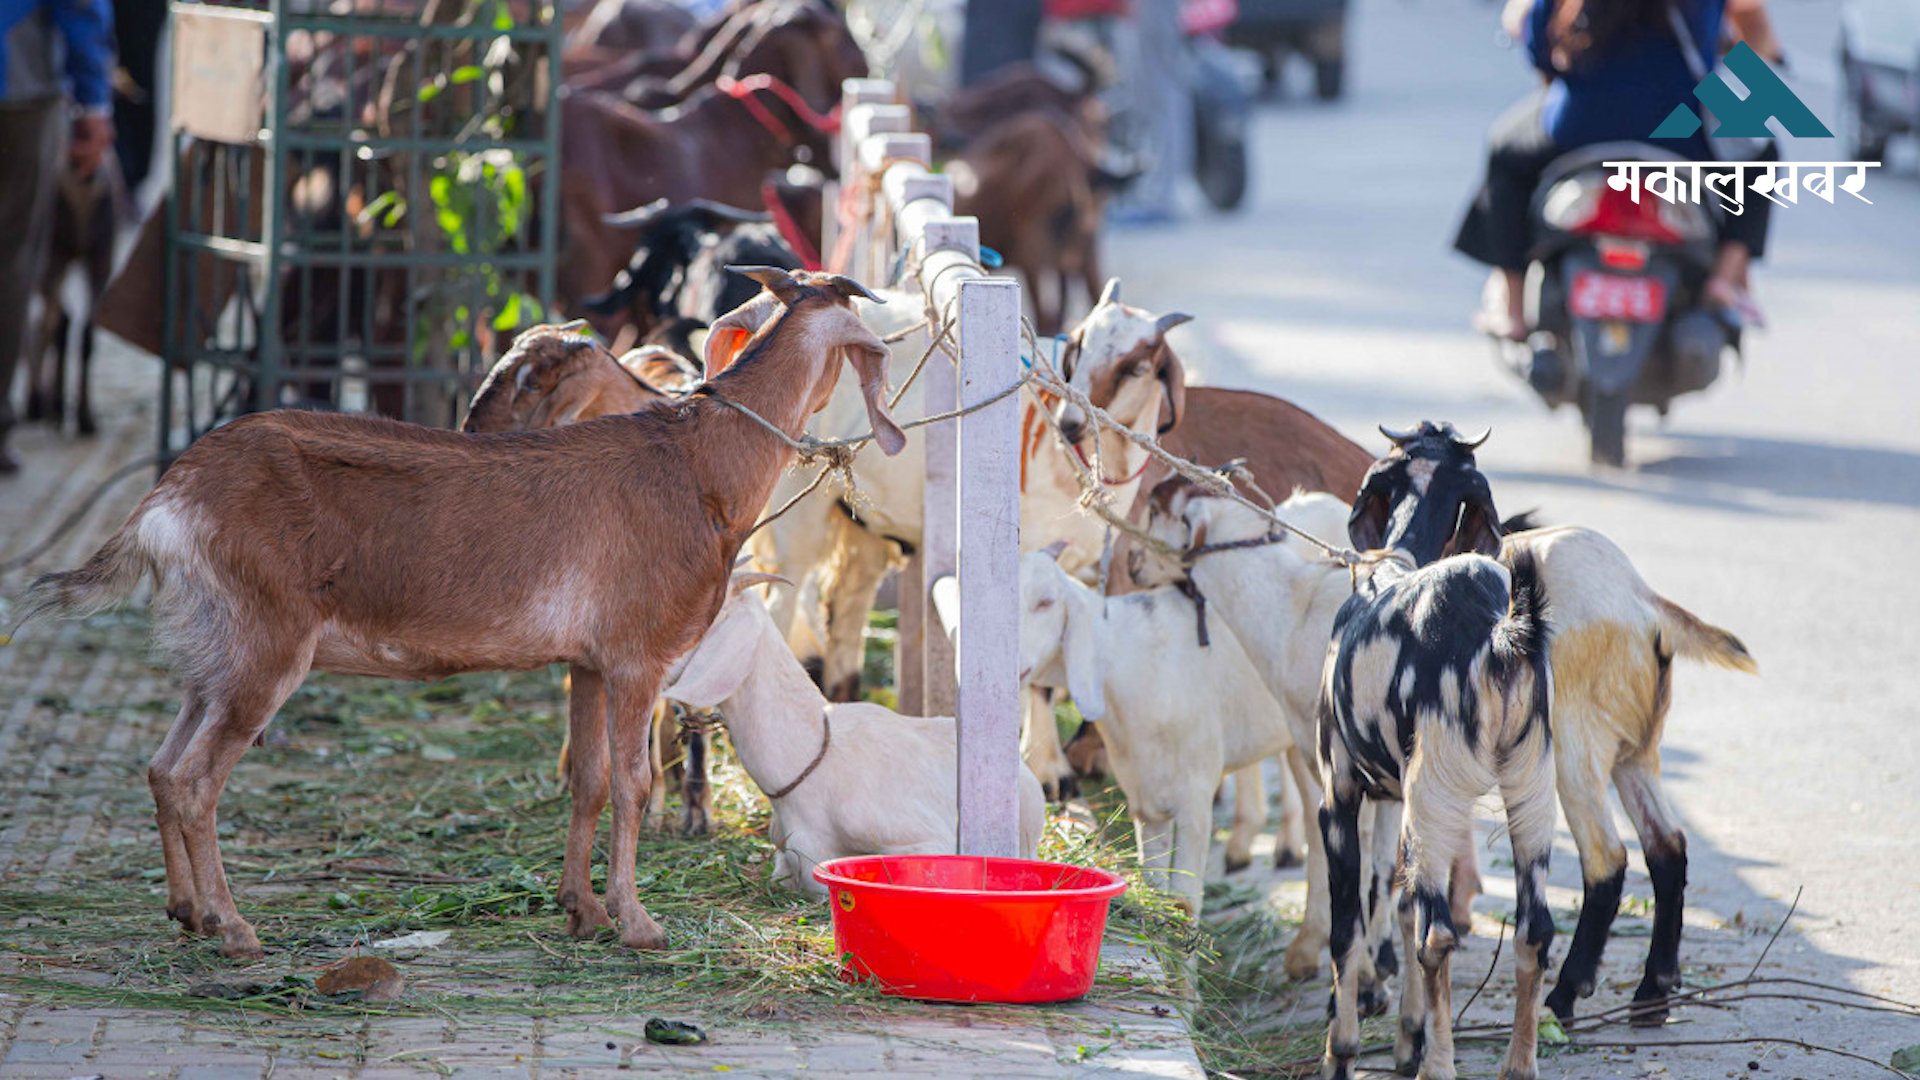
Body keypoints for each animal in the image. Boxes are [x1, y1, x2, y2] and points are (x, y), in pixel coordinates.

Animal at [15, 267, 902, 949]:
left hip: (212, 651)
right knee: (198, 780)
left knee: (164, 767)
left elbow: (587, 780)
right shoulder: (637, 654)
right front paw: (639, 923)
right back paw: (234, 928)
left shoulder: (587, 661)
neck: (697, 465)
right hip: (263, 646)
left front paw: (580, 910)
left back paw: (187, 912)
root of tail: (165, 503)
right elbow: (633, 782)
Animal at [1320, 420, 1559, 1076]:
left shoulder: (1339, 794)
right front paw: (1406, 1037)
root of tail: (1502, 633)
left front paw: (1342, 1051)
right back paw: (1517, 1066)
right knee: (1533, 931)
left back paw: (1440, 1065)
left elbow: (1347, 930)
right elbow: (1396, 908)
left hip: (1437, 795)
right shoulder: (1400, 799)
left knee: (1439, 934)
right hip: (1528, 792)